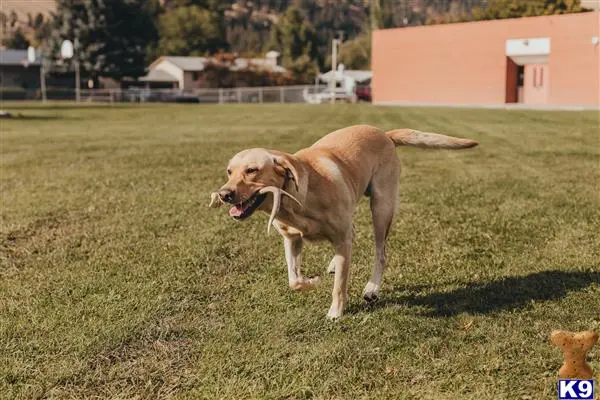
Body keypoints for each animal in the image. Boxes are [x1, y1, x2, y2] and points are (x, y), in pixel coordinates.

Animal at [211, 124, 478, 318]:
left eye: (252, 170)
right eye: (229, 171)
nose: (224, 194)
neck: (297, 200)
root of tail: (385, 134)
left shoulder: (340, 239)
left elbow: (340, 284)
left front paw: (335, 313)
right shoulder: (292, 239)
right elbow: (294, 279)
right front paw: (311, 281)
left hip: (381, 208)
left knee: (380, 252)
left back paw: (372, 288)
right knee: (354, 233)